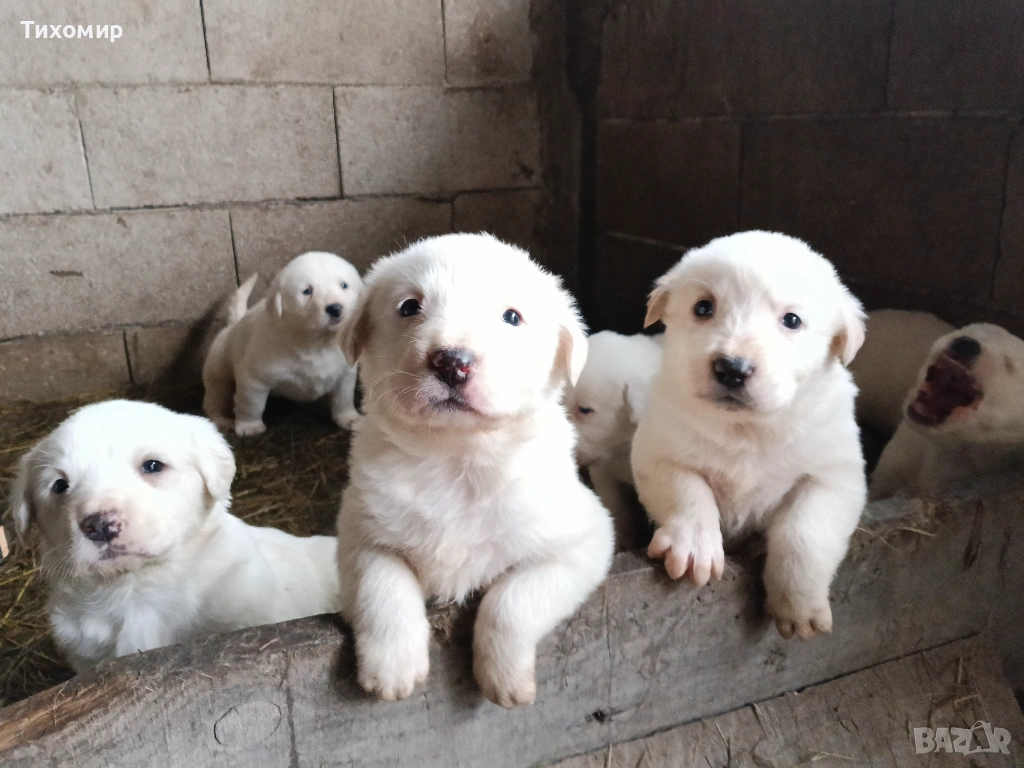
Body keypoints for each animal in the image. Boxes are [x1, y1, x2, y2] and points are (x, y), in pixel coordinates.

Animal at [203, 251, 363, 436]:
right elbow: (251, 405)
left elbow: (344, 398)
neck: (318, 343)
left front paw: (349, 419)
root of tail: (233, 324)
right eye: (307, 291)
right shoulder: (253, 379)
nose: (335, 308)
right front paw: (249, 427)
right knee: (215, 399)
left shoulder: (346, 373)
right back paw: (221, 421)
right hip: (218, 373)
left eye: (344, 285)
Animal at [336, 233, 613, 707]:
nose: (452, 361)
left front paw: (503, 680)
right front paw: (393, 669)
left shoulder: (582, 542)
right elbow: (383, 583)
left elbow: (511, 600)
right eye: (409, 306)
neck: (457, 458)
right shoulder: (358, 529)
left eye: (511, 317)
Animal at [631, 231, 867, 640]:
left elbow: (804, 534)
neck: (747, 429)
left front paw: (799, 608)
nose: (733, 368)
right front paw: (694, 547)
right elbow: (687, 489)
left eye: (792, 320)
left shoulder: (834, 478)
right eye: (703, 307)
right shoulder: (655, 449)